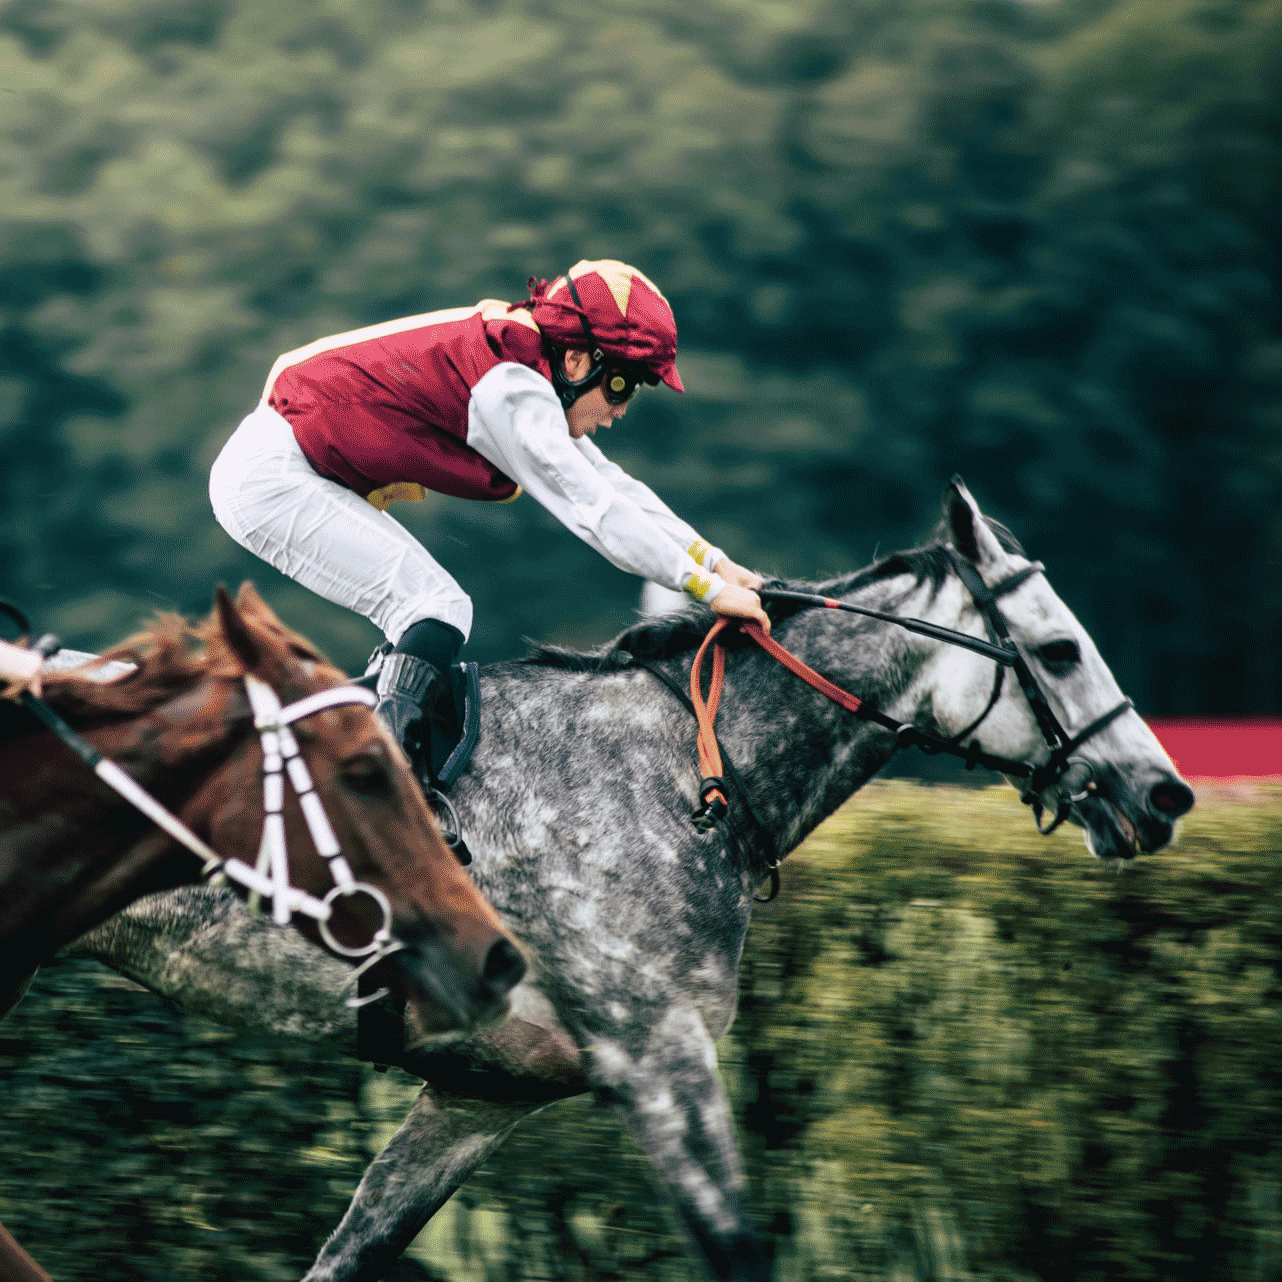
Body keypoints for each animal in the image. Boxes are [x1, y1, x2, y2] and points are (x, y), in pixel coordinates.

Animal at [77, 482, 1189, 1282]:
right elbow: (736, 1246)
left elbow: (352, 1248)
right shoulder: (659, 1052)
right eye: (1060, 648)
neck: (688, 769)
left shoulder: (480, 1095)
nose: (1163, 792)